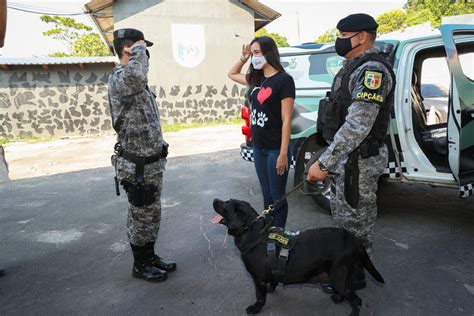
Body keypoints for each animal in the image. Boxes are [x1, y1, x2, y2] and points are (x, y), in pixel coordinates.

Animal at [214, 199, 386, 314]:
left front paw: (255, 308)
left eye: (225, 205)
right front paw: (271, 288)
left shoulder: (259, 279)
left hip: (339, 277)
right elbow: (273, 281)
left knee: (357, 300)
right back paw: (338, 298)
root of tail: (352, 238)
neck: (253, 232)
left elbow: (260, 297)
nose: (215, 200)